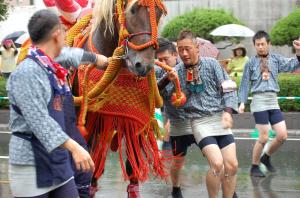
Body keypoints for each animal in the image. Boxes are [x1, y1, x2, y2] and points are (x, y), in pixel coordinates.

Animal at [41, 0, 185, 196]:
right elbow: (88, 161)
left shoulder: (135, 121)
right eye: (133, 10)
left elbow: (132, 168)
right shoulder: (90, 120)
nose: (144, 65)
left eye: (159, 12)